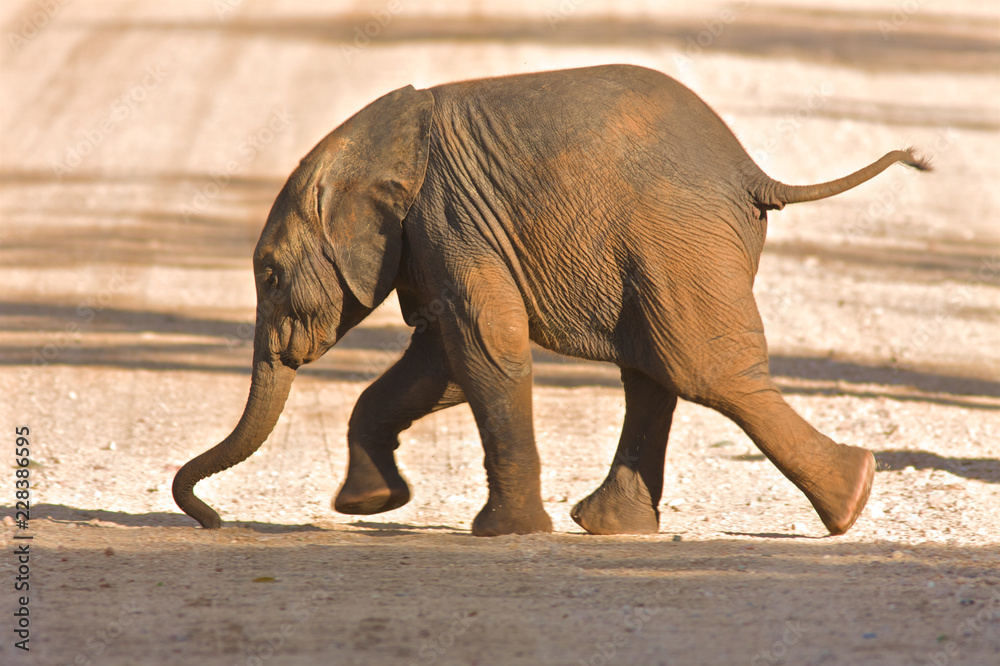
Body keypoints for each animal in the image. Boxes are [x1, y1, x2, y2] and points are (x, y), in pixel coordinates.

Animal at [172, 64, 929, 536]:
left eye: (269, 275)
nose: (211, 520)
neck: (371, 147)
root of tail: (752, 173)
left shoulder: (448, 217)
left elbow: (483, 343)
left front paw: (502, 535)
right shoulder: (433, 236)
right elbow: (441, 359)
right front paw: (370, 504)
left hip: (676, 240)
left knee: (702, 370)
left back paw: (852, 498)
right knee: (653, 374)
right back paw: (612, 527)